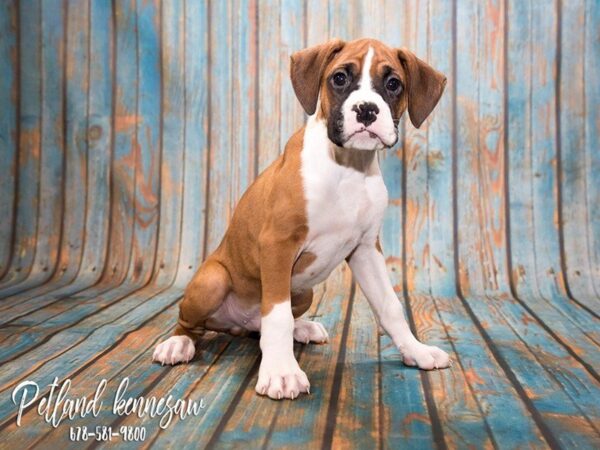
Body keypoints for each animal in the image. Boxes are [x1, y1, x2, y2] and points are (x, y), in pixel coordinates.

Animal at [154, 37, 450, 398]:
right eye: (339, 78)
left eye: (393, 84)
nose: (367, 109)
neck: (347, 168)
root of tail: (235, 325)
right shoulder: (278, 244)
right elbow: (277, 316)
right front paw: (282, 372)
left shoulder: (366, 250)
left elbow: (390, 306)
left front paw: (416, 351)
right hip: (213, 280)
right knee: (192, 322)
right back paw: (178, 344)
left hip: (304, 291)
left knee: (262, 327)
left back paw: (302, 328)